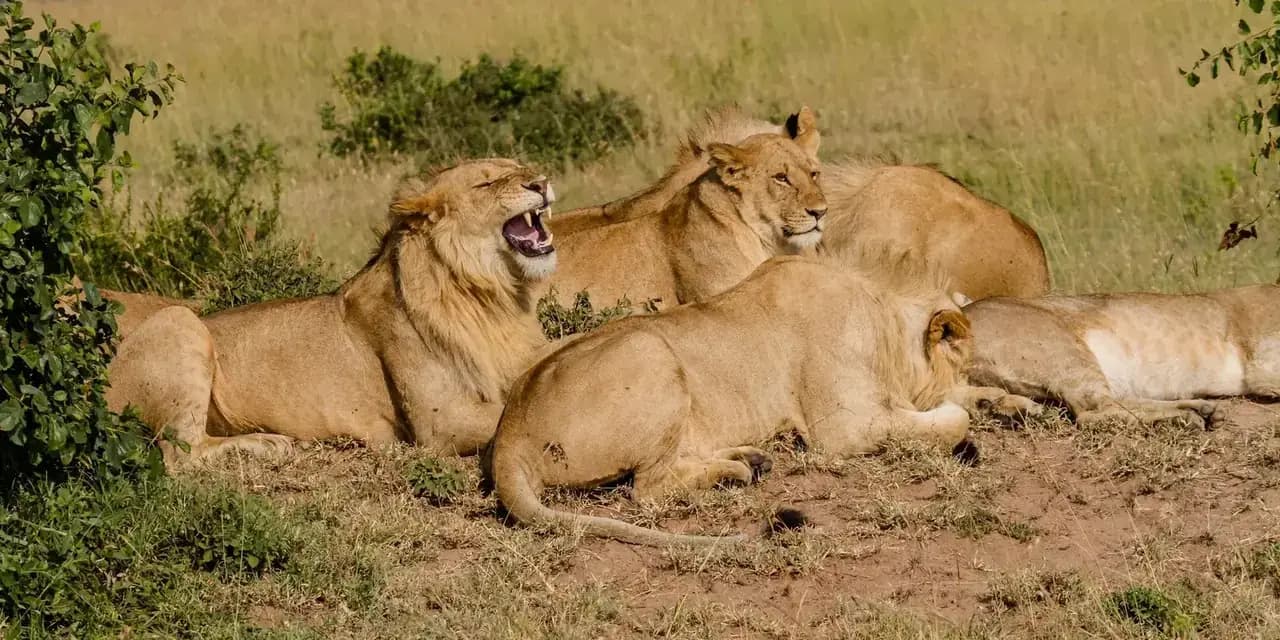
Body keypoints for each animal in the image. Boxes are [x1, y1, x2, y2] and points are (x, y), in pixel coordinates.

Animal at [105, 159, 558, 465]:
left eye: (520, 166)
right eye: (487, 181)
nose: (542, 181)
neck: (490, 294)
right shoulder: (439, 424)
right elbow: (506, 414)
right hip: (178, 319)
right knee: (178, 455)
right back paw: (265, 443)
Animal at [484, 252, 977, 546]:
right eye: (962, 363)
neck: (886, 320)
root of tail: (509, 435)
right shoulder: (843, 427)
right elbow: (955, 419)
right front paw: (957, 414)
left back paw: (750, 460)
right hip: (650, 350)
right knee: (648, 489)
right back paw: (735, 472)